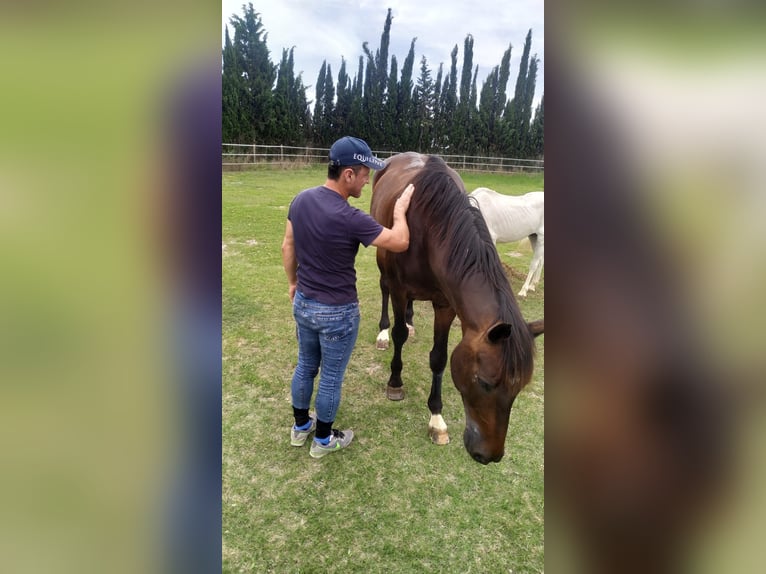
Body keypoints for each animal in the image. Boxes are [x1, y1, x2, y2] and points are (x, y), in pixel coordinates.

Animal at [370, 152, 544, 464]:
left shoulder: (446, 304)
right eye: (484, 382)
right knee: (384, 290)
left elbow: (439, 358)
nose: (490, 455)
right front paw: (395, 382)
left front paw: (436, 419)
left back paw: (412, 322)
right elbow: (399, 334)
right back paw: (383, 333)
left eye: (519, 387)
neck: (430, 229)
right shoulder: (400, 289)